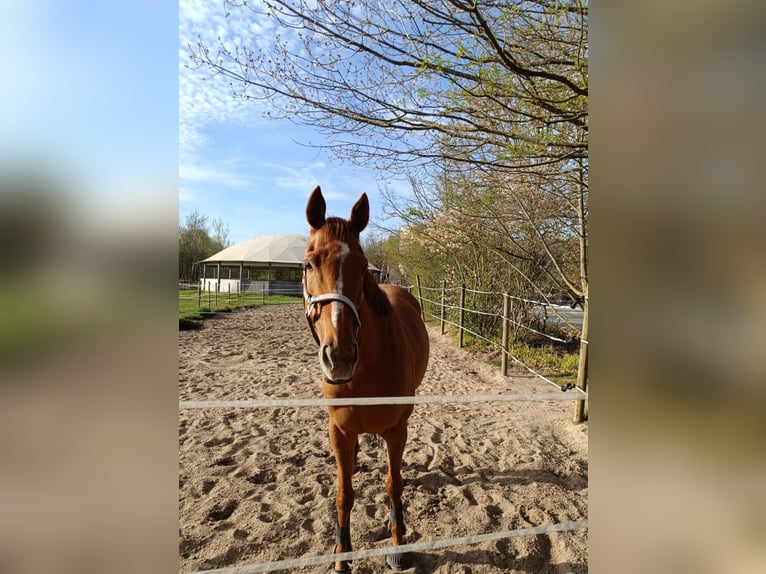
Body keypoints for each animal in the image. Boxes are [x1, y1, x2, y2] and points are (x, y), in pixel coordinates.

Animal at [302, 186, 430, 572]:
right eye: (309, 264)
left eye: (361, 267)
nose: (340, 357)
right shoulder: (339, 431)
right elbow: (344, 494)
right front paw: (342, 555)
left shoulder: (397, 431)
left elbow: (393, 485)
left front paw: (399, 545)